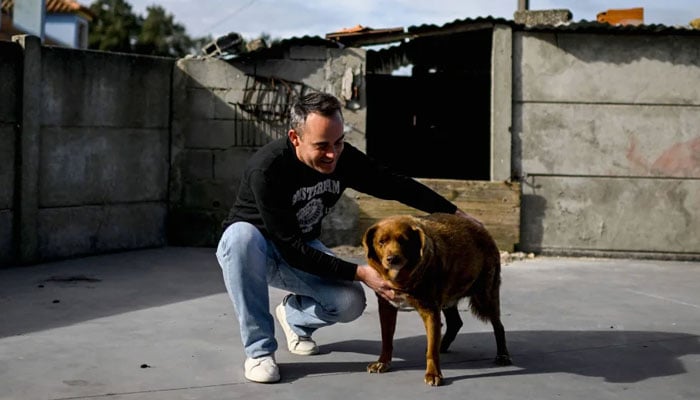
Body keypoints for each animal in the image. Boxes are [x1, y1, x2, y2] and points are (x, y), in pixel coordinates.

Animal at [364, 212, 512, 384]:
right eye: (381, 242)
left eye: (404, 241)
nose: (392, 259)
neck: (402, 278)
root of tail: (482, 229)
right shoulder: (386, 306)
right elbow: (387, 339)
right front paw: (382, 362)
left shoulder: (430, 309)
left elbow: (431, 351)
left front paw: (433, 374)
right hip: (449, 297)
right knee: (455, 323)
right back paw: (443, 345)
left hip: (485, 297)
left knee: (498, 326)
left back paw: (503, 355)